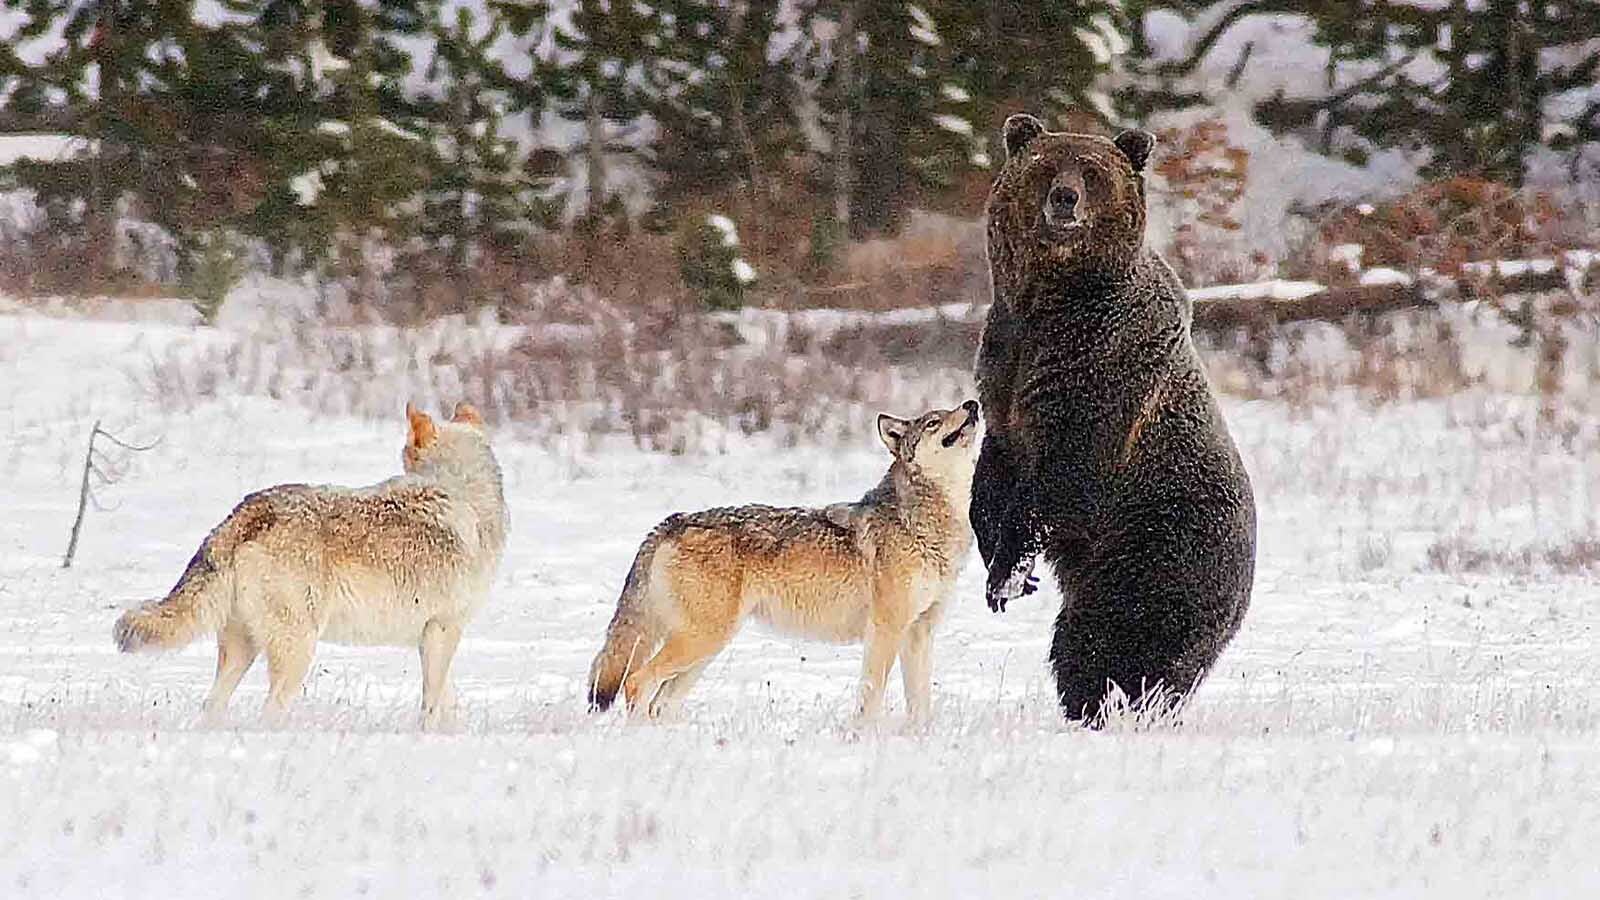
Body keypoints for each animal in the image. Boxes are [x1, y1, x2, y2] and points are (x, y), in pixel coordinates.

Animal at [113, 402, 508, 727]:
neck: (464, 491)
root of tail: (248, 512)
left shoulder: (435, 635)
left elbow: (447, 701)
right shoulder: (443, 629)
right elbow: (432, 704)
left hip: (243, 649)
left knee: (212, 706)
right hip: (297, 650)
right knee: (270, 711)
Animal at [587, 401, 980, 721]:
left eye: (948, 409)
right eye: (933, 422)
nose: (972, 404)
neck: (923, 523)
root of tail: (670, 523)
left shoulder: (919, 633)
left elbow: (920, 704)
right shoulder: (886, 629)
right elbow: (871, 698)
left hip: (705, 649)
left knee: (661, 702)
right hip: (702, 641)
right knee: (637, 682)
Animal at [970, 113, 1256, 726]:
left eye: (1092, 171)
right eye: (1046, 165)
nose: (1064, 198)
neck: (1052, 300)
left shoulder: (1100, 371)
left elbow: (1061, 475)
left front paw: (1006, 574)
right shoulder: (1005, 360)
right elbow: (994, 467)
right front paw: (1008, 568)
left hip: (1158, 551)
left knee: (1107, 640)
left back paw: (1101, 705)